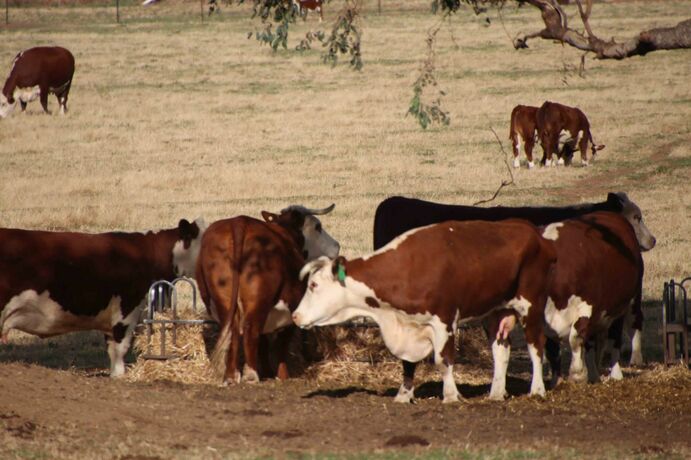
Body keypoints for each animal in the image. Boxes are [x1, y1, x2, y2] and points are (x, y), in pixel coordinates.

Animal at [196, 205, 340, 384]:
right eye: (317, 226)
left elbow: (263, 344)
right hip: (259, 304)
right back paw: (251, 375)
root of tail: (239, 222)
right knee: (251, 332)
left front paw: (266, 371)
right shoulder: (290, 313)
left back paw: (232, 375)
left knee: (234, 333)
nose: (337, 246)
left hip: (225, 302)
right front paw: (282, 375)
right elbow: (281, 346)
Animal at [292, 219, 556, 402]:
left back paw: (537, 390)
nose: (295, 316)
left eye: (313, 285)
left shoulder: (445, 320)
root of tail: (533, 232)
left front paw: (451, 395)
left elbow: (443, 360)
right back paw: (496, 393)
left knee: (536, 345)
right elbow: (407, 363)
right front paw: (403, 396)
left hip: (531, 306)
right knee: (501, 350)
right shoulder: (407, 324)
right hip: (494, 312)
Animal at [536, 212, 648, 384]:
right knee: (596, 342)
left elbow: (575, 338)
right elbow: (552, 350)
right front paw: (557, 381)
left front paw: (577, 374)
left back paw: (621, 369)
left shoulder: (585, 308)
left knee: (621, 334)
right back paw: (595, 373)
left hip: (626, 303)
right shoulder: (545, 321)